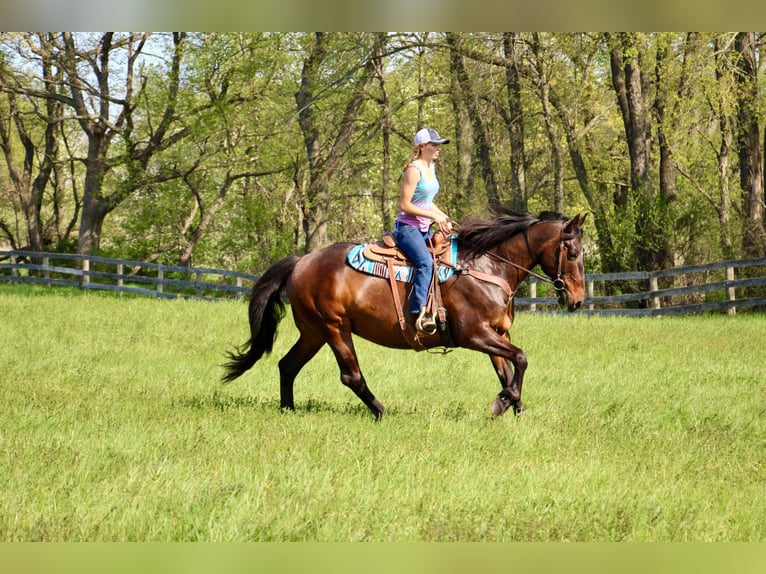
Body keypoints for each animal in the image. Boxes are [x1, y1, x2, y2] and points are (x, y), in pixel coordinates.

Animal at [222, 207, 588, 418]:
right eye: (571, 252)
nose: (578, 300)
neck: (487, 267)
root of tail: (302, 261)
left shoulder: (496, 333)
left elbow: (508, 369)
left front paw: (515, 407)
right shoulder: (474, 335)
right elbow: (520, 359)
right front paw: (504, 403)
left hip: (313, 332)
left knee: (288, 365)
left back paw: (288, 410)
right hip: (335, 329)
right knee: (350, 376)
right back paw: (381, 411)